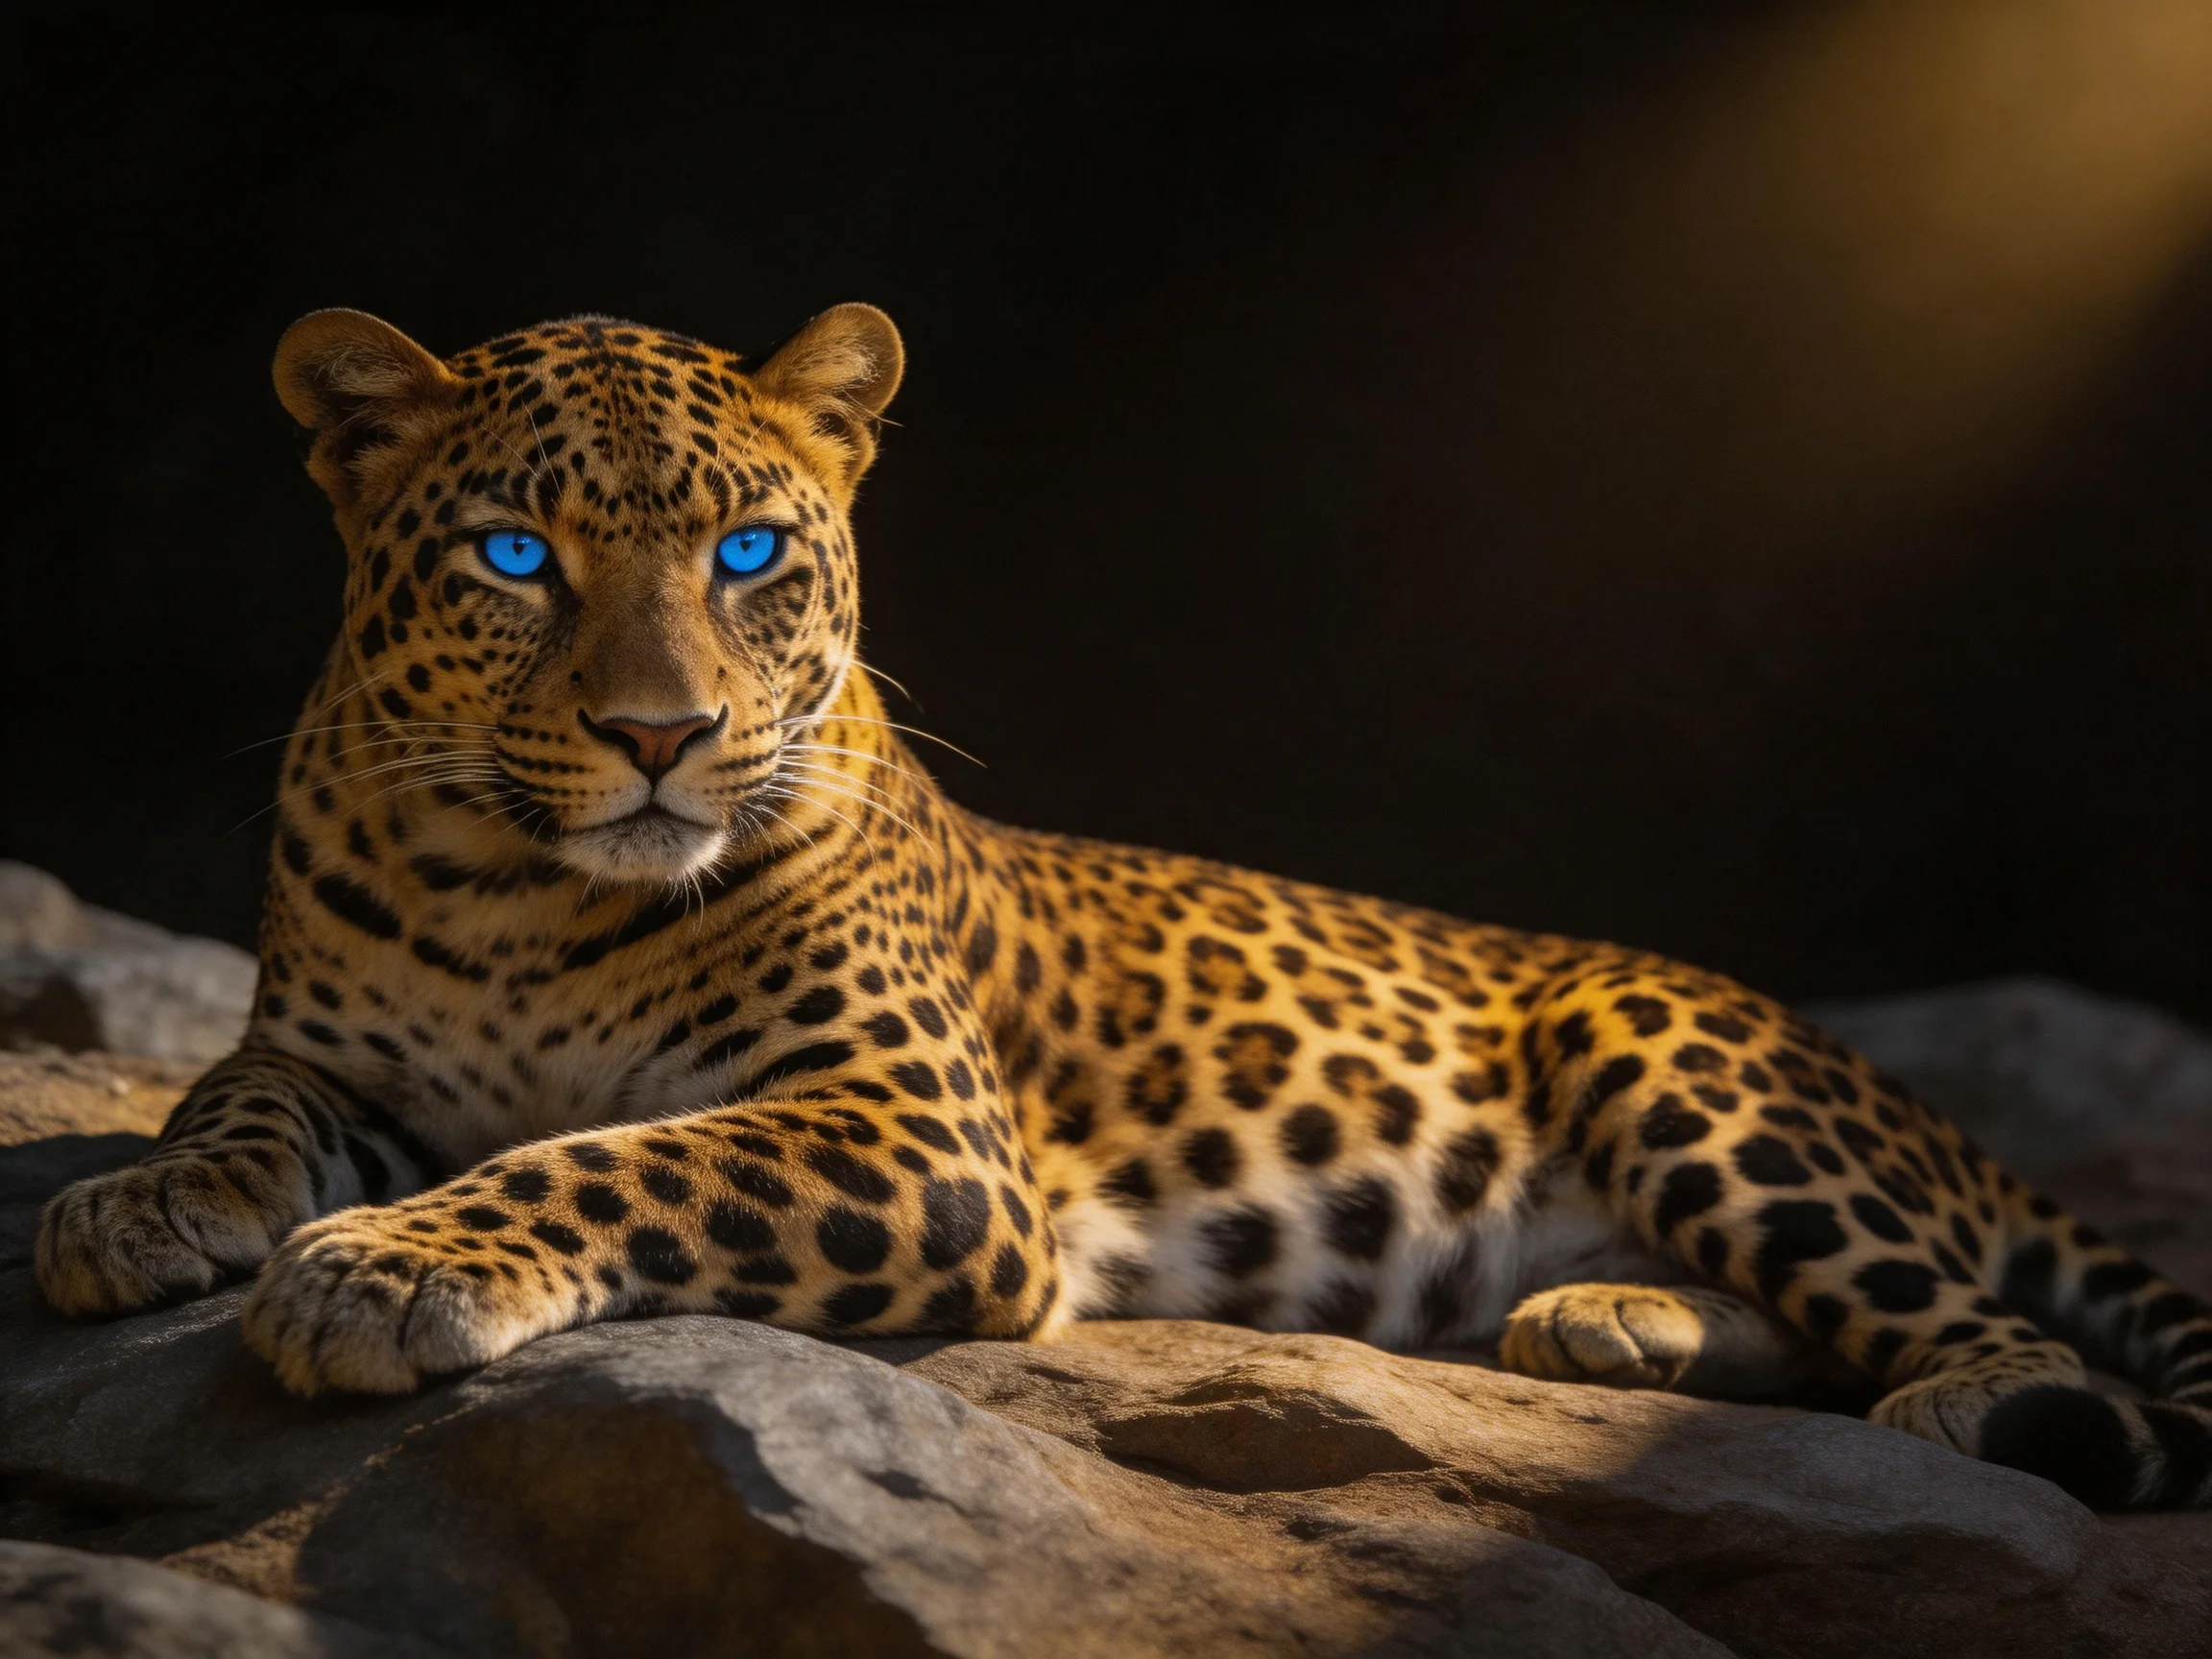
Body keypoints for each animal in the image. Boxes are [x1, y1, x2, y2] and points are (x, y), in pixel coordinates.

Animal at [34, 302, 2212, 1511]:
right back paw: (1610, 1320)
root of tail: (1908, 1100)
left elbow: (617, 1156)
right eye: (510, 555)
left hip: (1674, 1063)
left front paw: (384, 1268)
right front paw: (137, 1205)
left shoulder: (915, 1135)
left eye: (747, 551)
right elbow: (230, 1093)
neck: (514, 889)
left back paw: (1957, 1412)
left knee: (2015, 1355)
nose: (663, 737)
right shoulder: (329, 1047)